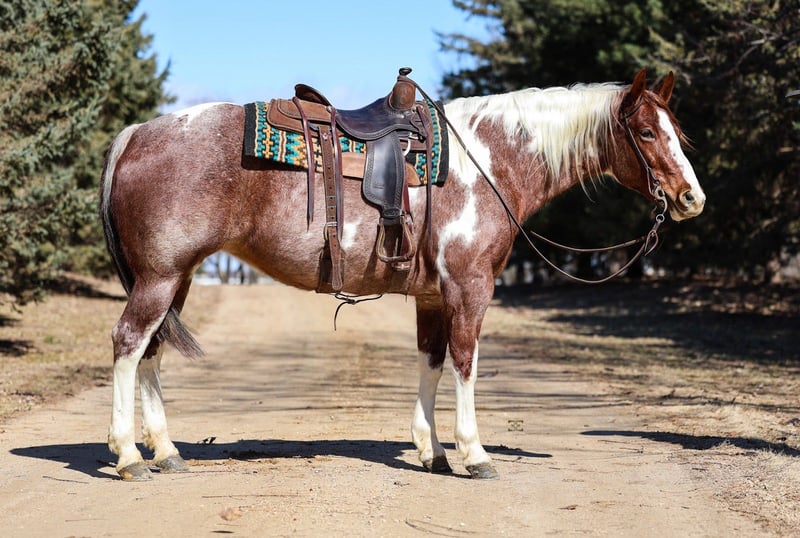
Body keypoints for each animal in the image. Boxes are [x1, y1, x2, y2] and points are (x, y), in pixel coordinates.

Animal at [100, 68, 705, 481]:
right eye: (646, 133)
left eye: (675, 130)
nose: (691, 199)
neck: (488, 161)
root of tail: (136, 134)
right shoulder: (469, 288)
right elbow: (465, 362)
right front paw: (474, 452)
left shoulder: (434, 297)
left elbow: (431, 364)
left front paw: (431, 450)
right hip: (159, 278)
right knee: (129, 343)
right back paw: (129, 454)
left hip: (175, 279)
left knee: (151, 352)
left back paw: (166, 451)